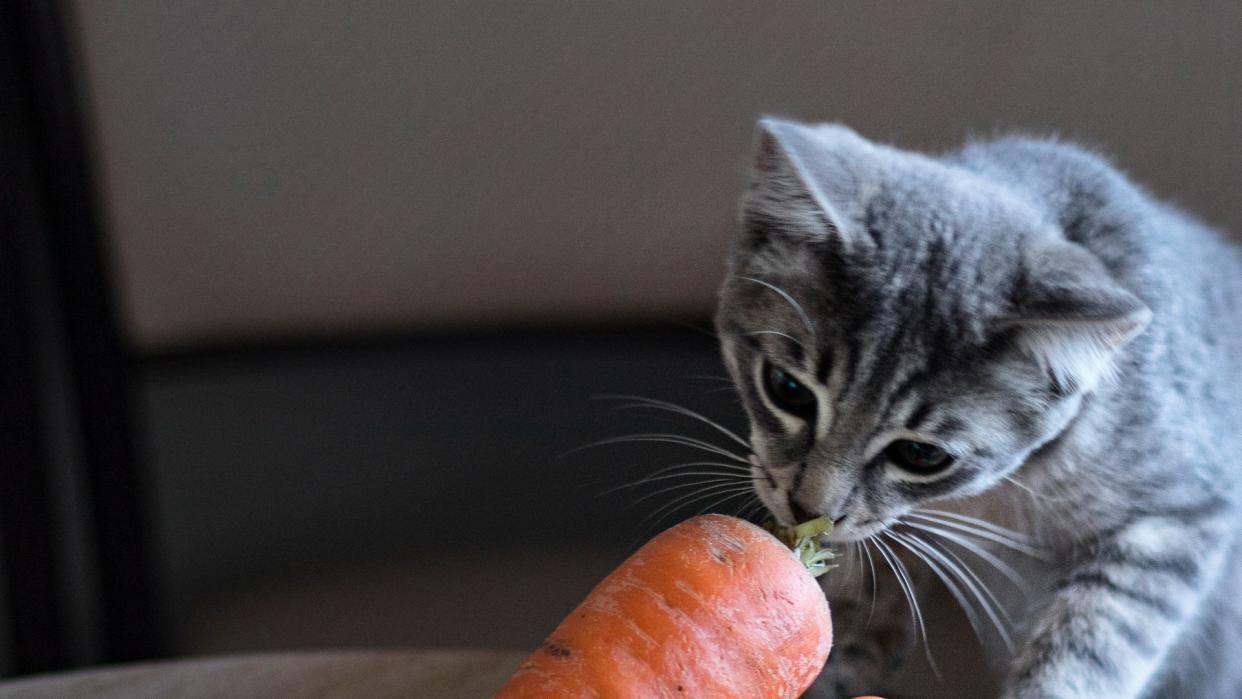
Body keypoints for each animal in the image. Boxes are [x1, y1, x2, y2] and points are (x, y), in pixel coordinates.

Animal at [710, 117, 1242, 695]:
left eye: (922, 455)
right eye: (787, 388)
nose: (808, 510)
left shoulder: (1174, 519)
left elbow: (1091, 647)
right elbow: (855, 597)